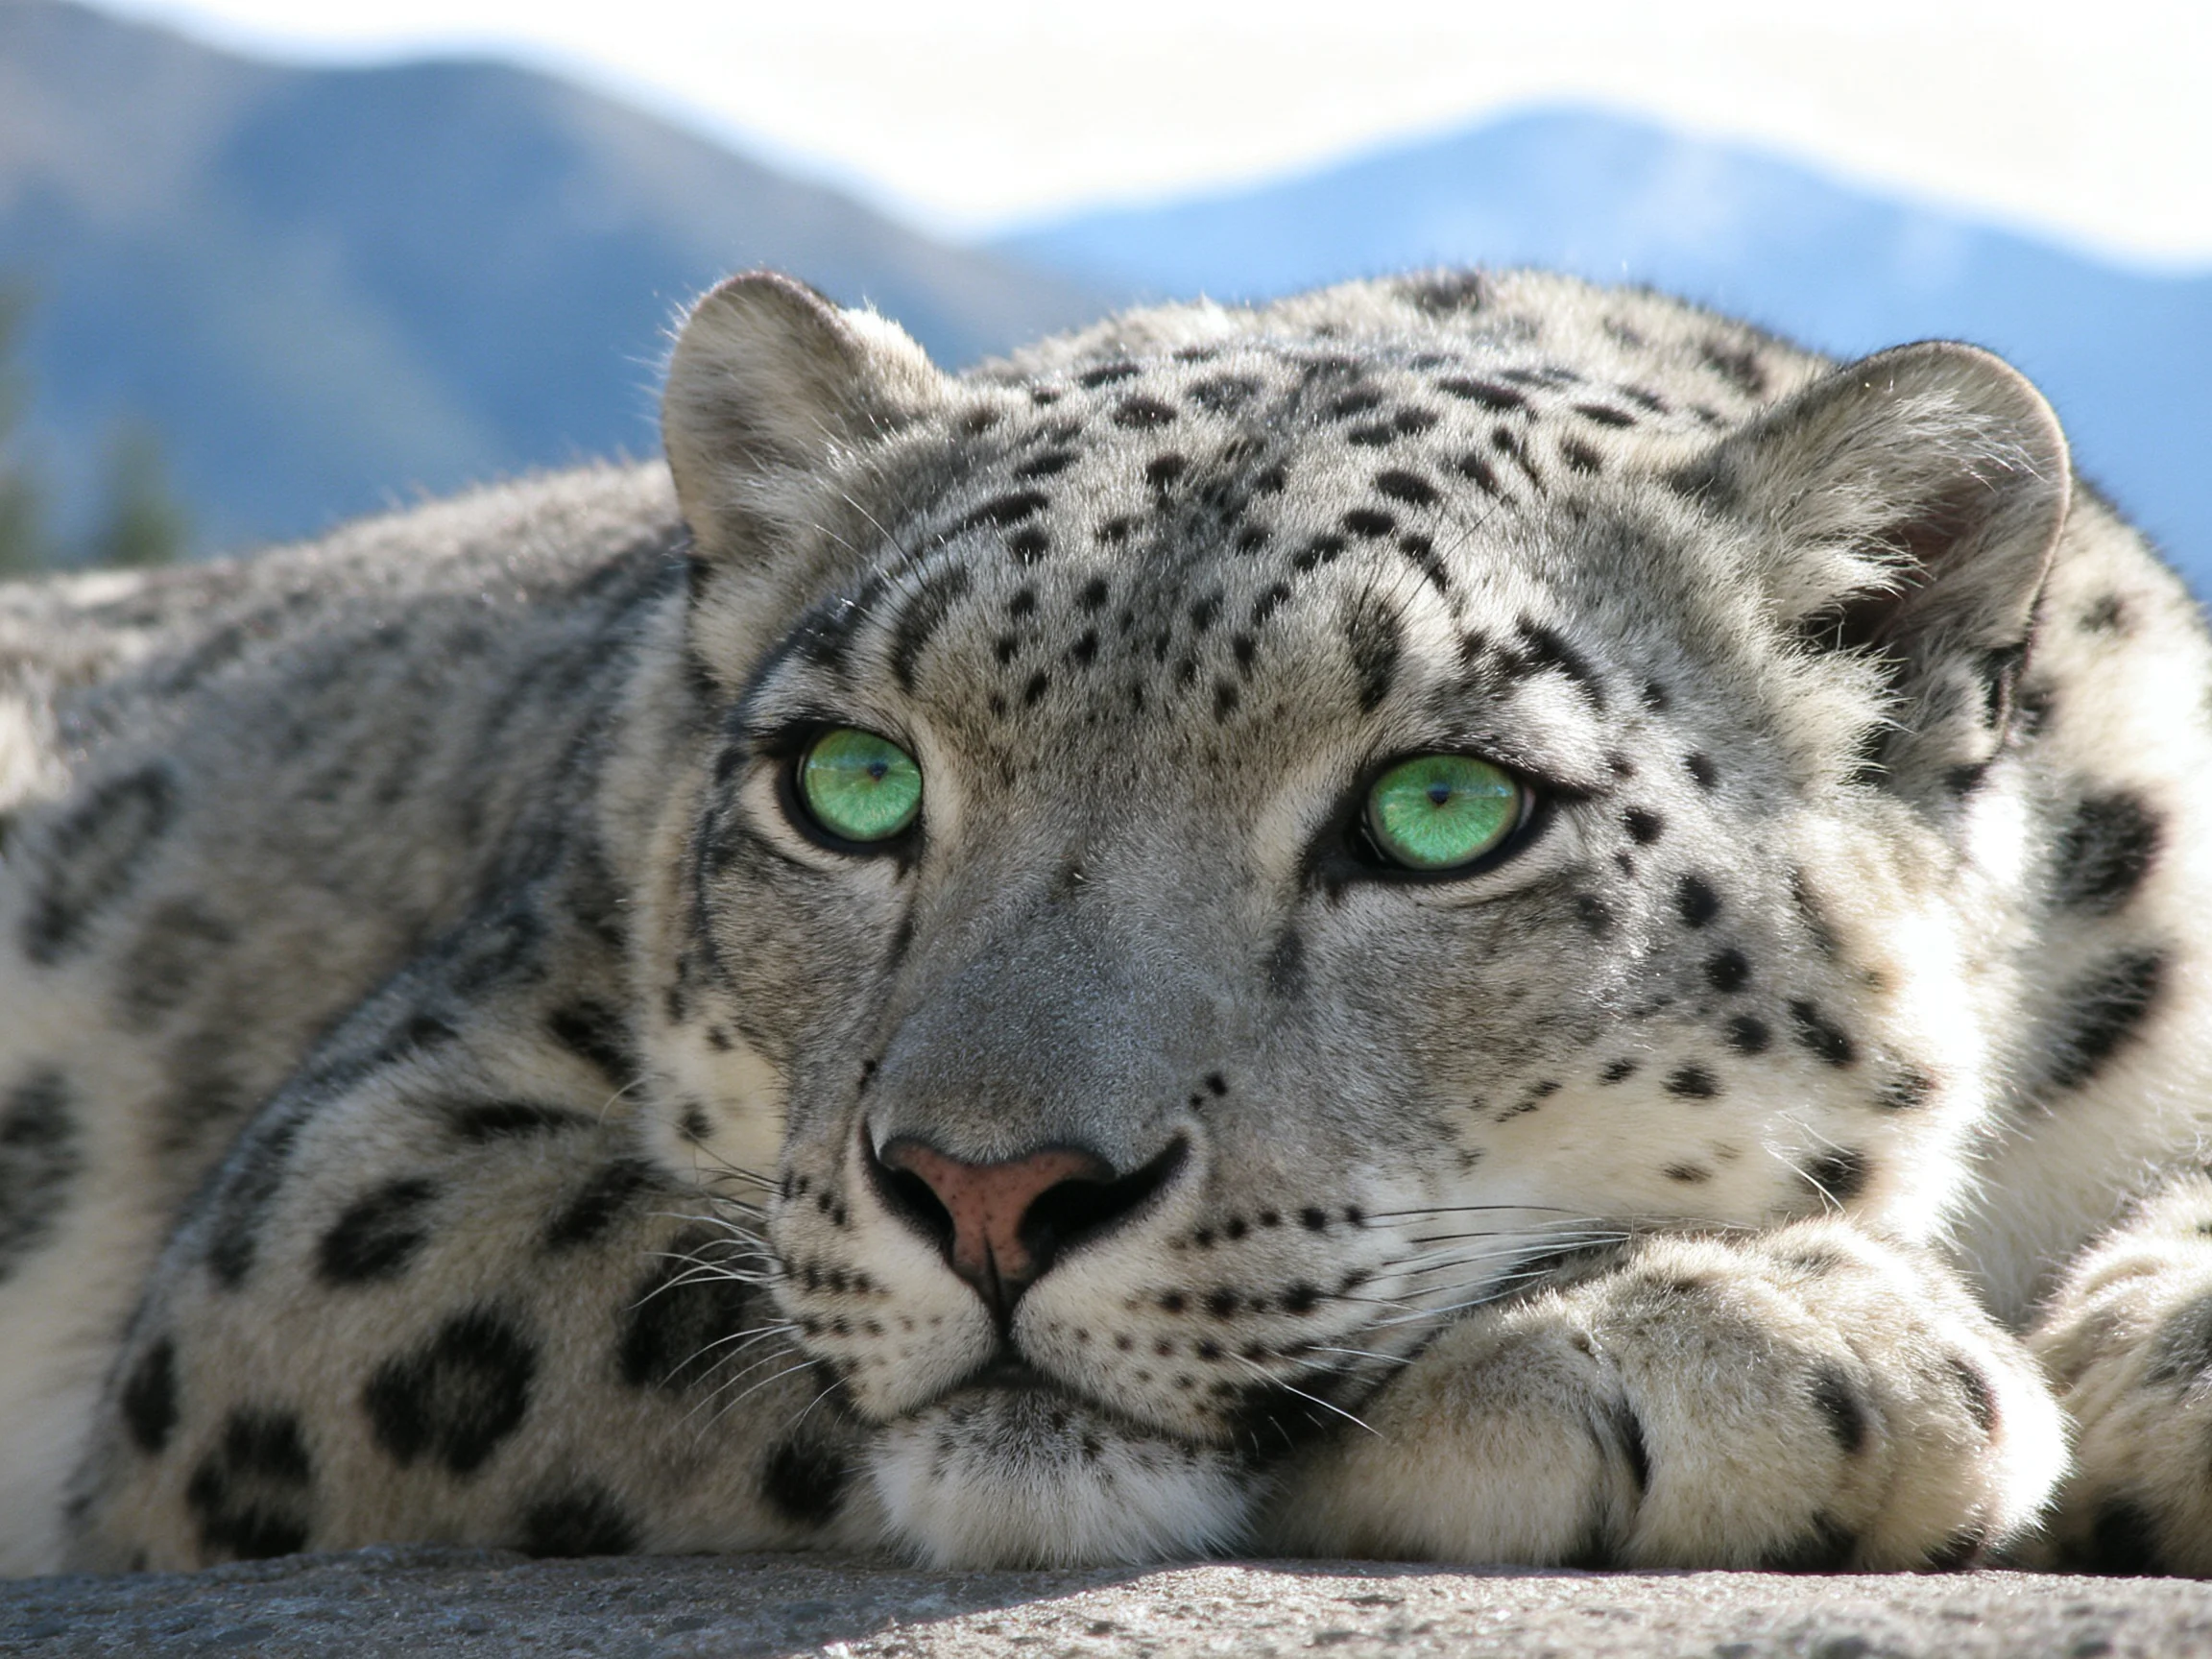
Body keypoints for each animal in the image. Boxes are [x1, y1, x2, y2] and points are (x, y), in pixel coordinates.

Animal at [1, 266, 2209, 1580]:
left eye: (1438, 809)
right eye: (852, 781)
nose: (991, 1191)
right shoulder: (342, 1192)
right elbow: (659, 1279)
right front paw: (1744, 1342)